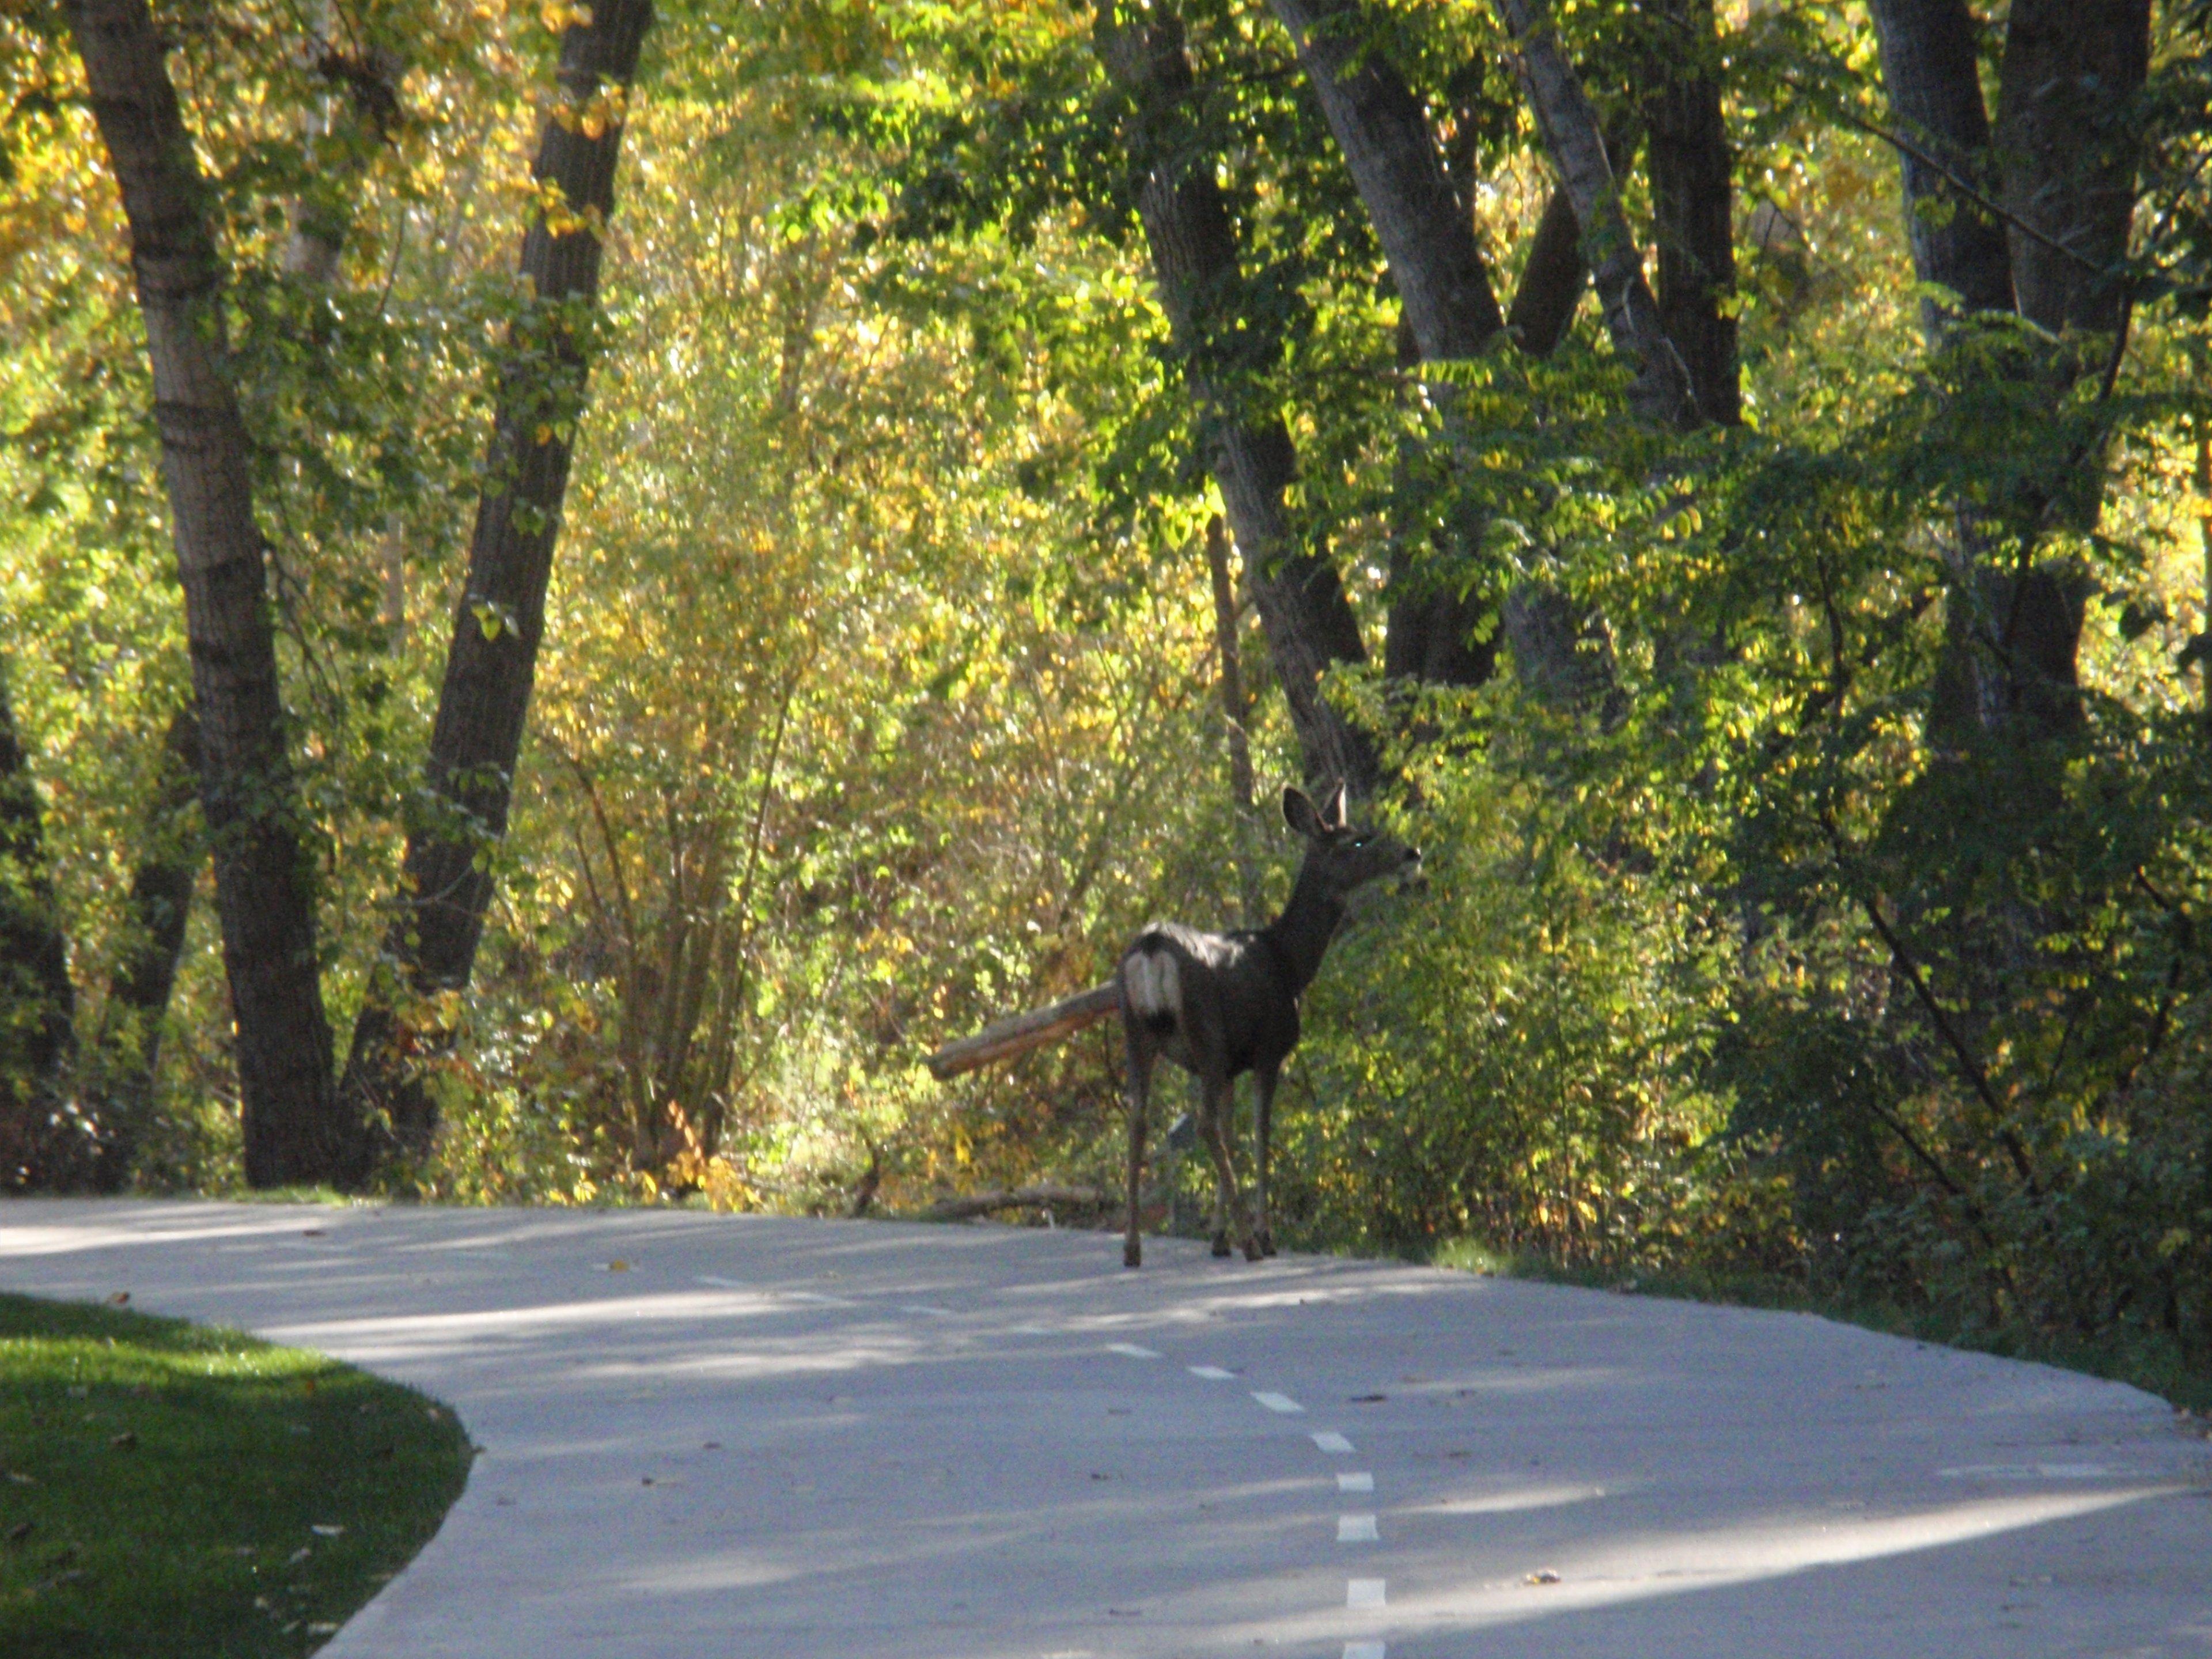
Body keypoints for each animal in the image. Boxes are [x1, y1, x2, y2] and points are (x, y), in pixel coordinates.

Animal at [1123, 787, 1415, 1265]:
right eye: (1357, 840)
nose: (1411, 853)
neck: (1291, 963)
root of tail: (1151, 949)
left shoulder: (1229, 1069)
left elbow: (1233, 1134)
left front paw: (1219, 1237)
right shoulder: (1268, 1051)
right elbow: (1260, 1135)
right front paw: (1262, 1234)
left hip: (1135, 1032)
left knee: (1140, 1120)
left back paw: (1133, 1247)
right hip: (1206, 1032)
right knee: (1203, 1125)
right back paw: (1251, 1243)